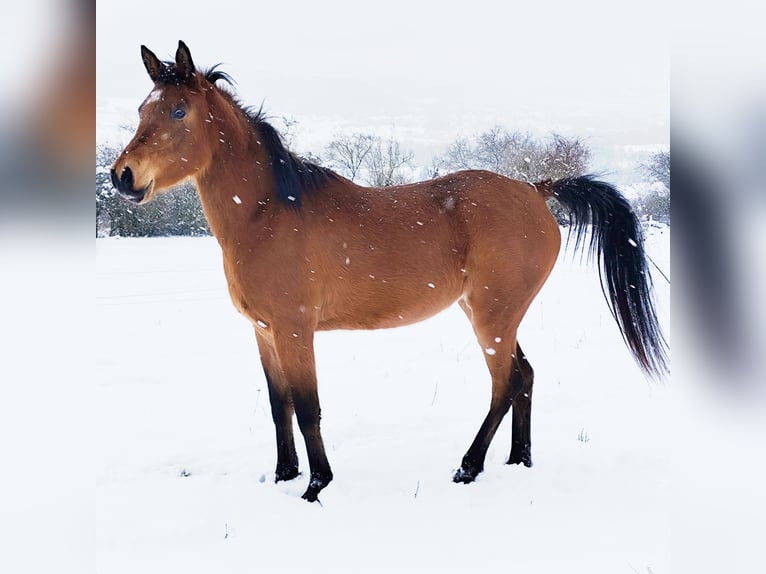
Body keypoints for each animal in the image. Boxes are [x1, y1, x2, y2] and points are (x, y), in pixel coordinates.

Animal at [111, 41, 668, 502]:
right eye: (142, 109)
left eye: (178, 110)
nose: (122, 177)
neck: (267, 212)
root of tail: (536, 188)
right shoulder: (264, 332)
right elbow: (279, 407)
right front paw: (285, 476)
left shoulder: (295, 330)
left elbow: (308, 407)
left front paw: (316, 486)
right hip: (492, 315)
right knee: (525, 376)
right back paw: (517, 461)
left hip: (493, 318)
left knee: (505, 384)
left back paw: (468, 468)